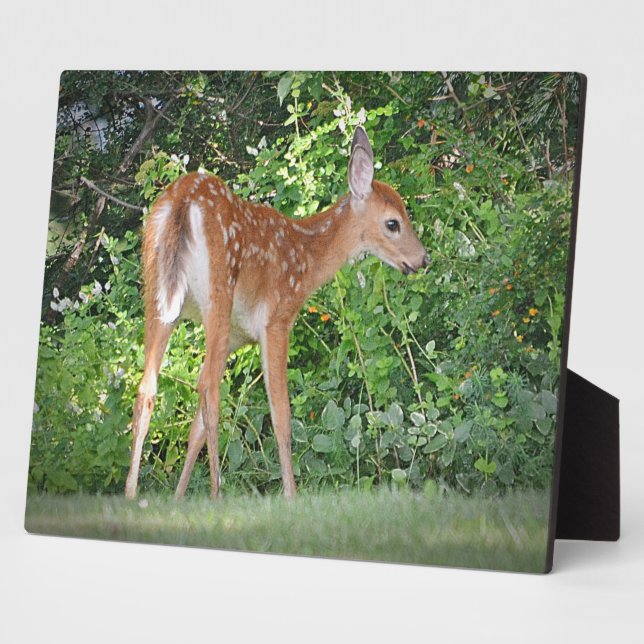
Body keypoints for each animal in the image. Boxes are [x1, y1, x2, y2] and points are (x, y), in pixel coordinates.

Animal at [124, 126, 429, 500]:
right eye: (393, 223)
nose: (422, 259)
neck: (306, 258)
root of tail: (182, 200)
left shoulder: (237, 338)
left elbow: (195, 429)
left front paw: (178, 497)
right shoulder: (277, 320)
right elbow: (281, 414)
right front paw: (290, 494)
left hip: (157, 294)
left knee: (146, 390)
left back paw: (131, 493)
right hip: (218, 291)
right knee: (207, 386)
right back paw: (216, 493)